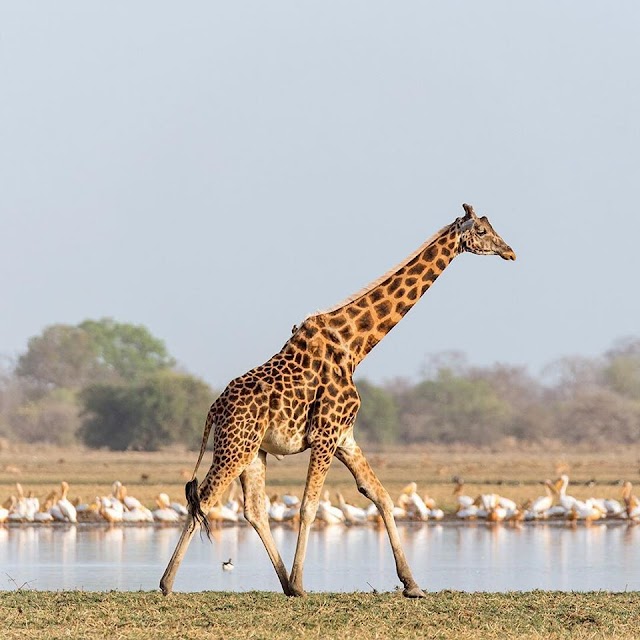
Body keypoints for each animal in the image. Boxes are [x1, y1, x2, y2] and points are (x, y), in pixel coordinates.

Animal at [160, 202, 516, 596]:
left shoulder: (345, 437)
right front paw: (303, 582)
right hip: (235, 447)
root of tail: (213, 410)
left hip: (253, 451)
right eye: (482, 231)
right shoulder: (325, 435)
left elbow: (381, 496)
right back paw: (168, 583)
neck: (355, 346)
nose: (510, 251)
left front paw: (412, 584)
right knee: (204, 500)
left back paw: (283, 583)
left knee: (252, 509)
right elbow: (309, 507)